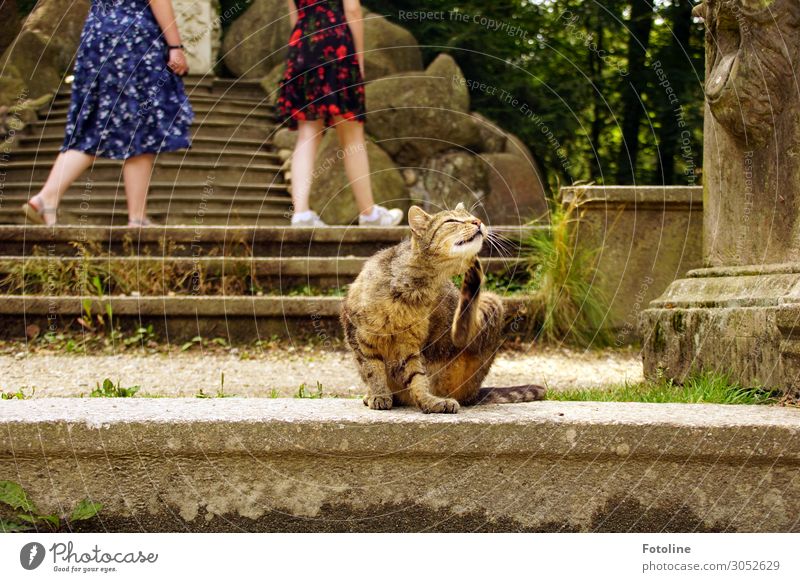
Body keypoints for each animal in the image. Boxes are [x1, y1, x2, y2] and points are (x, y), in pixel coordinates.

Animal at [340, 205, 548, 416]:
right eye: (451, 221)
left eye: (472, 216)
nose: (478, 221)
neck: (415, 289)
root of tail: (475, 393)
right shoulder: (359, 335)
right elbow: (372, 370)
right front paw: (380, 395)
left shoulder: (409, 346)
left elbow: (417, 377)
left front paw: (429, 401)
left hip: (491, 302)